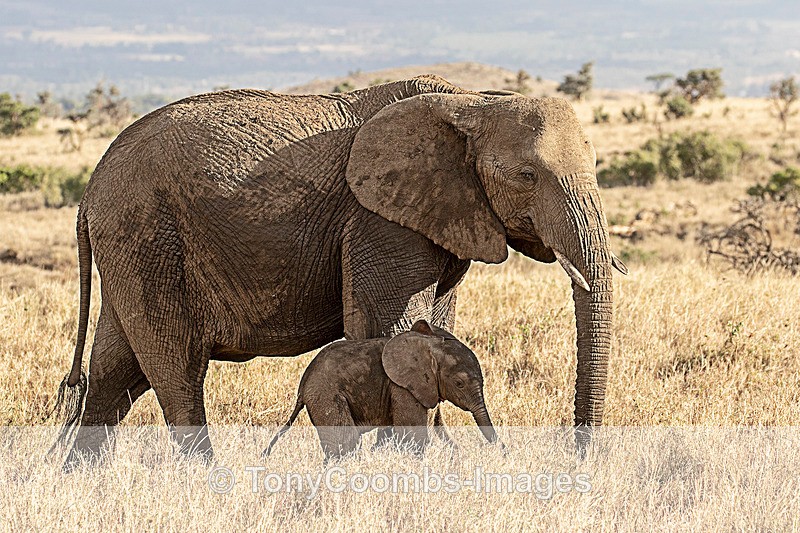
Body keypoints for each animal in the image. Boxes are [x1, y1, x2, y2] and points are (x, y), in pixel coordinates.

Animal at [263, 319, 500, 461]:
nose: (504, 453)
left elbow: (438, 428)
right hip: (326, 395)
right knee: (346, 442)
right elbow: (414, 435)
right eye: (459, 383)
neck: (430, 346)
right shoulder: (403, 388)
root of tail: (302, 386)